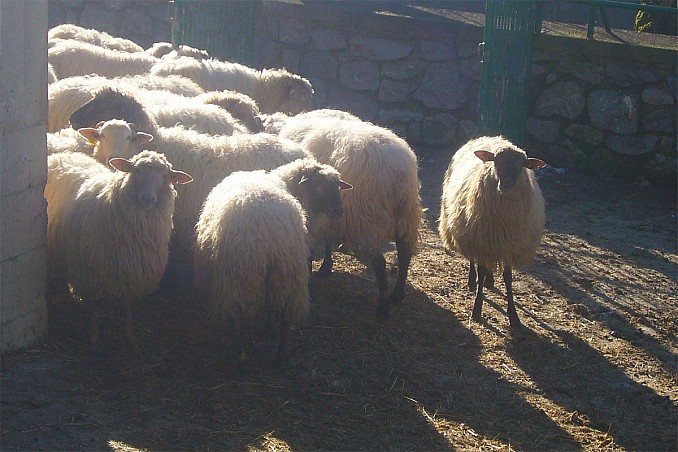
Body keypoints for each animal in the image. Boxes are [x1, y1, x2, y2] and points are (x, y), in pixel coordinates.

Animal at [45, 150, 193, 350]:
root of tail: (63, 154)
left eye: (165, 176)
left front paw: (131, 337)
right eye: (135, 171)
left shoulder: (131, 270)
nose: (148, 199)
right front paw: (94, 336)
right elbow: (96, 304)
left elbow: (128, 305)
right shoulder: (92, 270)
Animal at [194, 159, 350, 362]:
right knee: (283, 316)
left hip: (250, 275)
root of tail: (270, 231)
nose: (339, 211)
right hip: (285, 273)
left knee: (247, 318)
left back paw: (245, 356)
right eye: (320, 187)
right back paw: (279, 355)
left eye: (337, 186)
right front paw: (268, 328)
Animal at [278, 116, 422, 319]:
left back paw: (383, 307)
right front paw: (326, 266)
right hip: (406, 217)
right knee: (404, 254)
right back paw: (397, 295)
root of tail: (398, 174)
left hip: (369, 219)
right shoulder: (330, 213)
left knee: (380, 262)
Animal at [438, 136, 546, 328]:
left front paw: (514, 316)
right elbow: (480, 270)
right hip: (471, 232)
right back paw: (472, 280)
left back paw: (490, 280)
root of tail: (486, 137)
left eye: (522, 165)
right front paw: (477, 309)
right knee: (472, 260)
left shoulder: (509, 244)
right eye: (496, 161)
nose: (506, 186)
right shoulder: (480, 241)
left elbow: (508, 278)